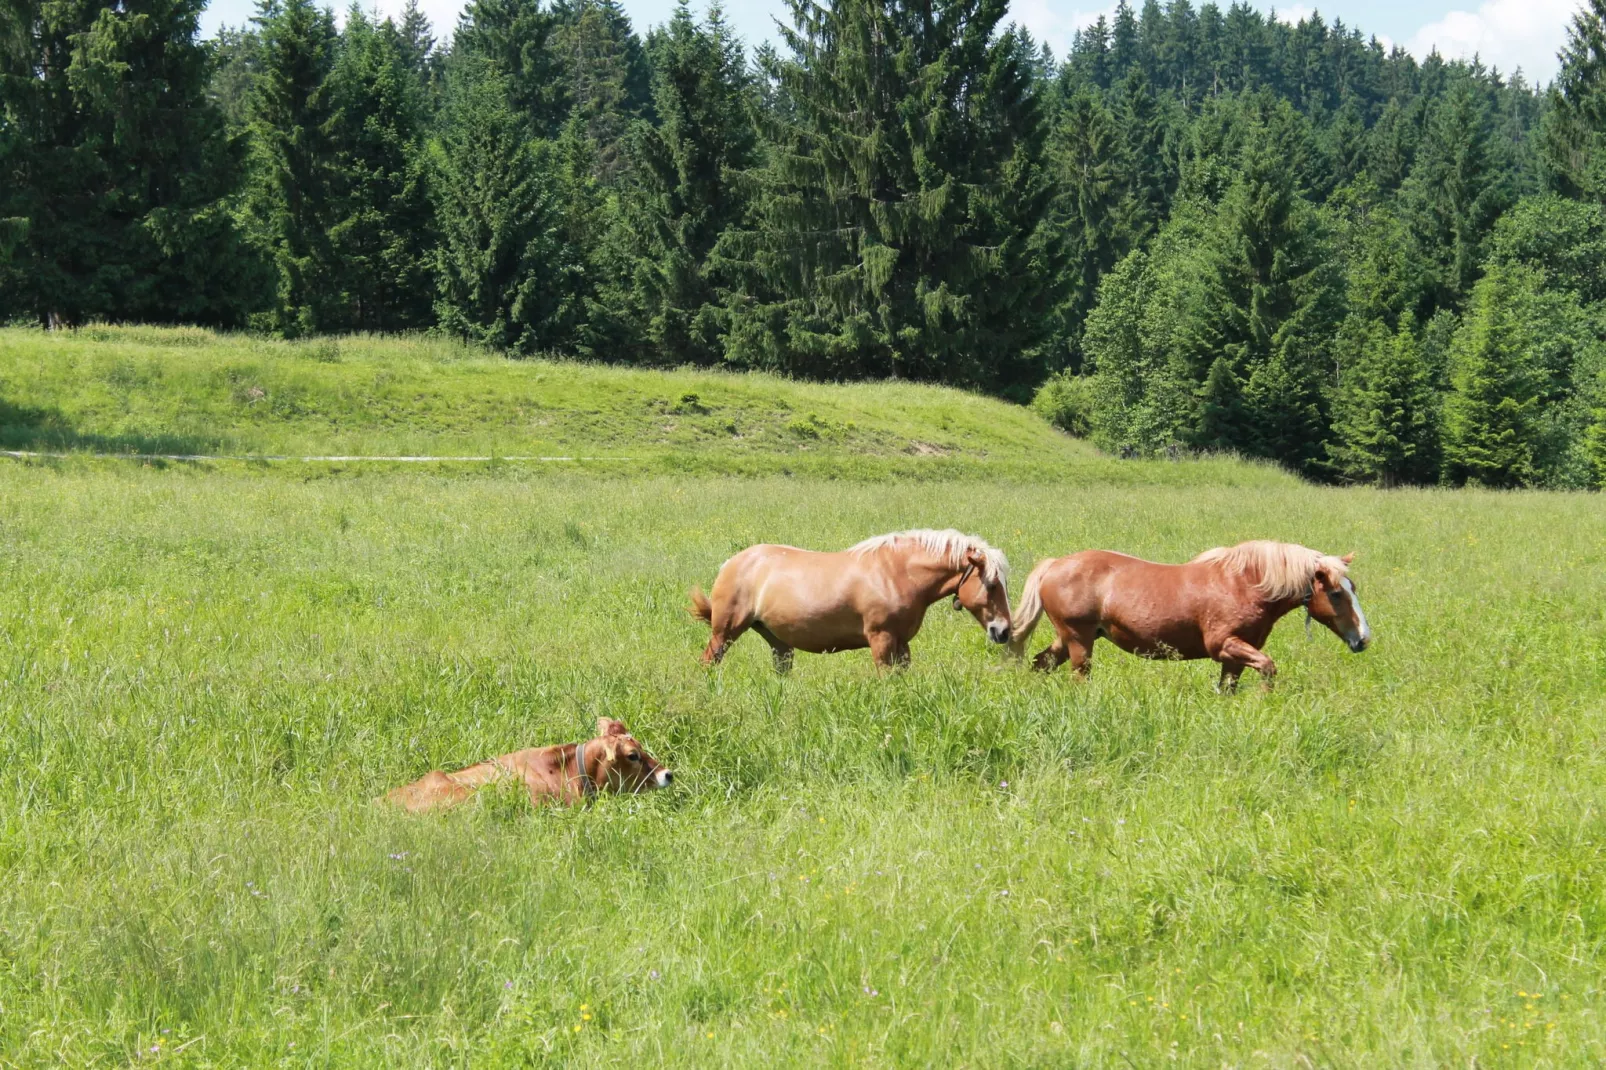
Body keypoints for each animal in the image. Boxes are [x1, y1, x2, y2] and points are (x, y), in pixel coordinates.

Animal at [684, 526, 1008, 668]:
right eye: (992, 584)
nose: (1003, 631)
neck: (896, 572)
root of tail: (731, 563)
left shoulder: (902, 644)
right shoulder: (881, 640)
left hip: (779, 642)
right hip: (725, 632)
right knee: (709, 662)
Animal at [1002, 536, 1368, 687]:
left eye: (1353, 588)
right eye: (1336, 593)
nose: (1363, 638)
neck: (1245, 584)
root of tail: (1052, 565)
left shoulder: (1235, 657)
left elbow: (1228, 688)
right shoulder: (1224, 645)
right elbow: (1268, 667)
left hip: (1070, 639)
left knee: (1040, 663)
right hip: (1080, 641)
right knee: (1078, 678)